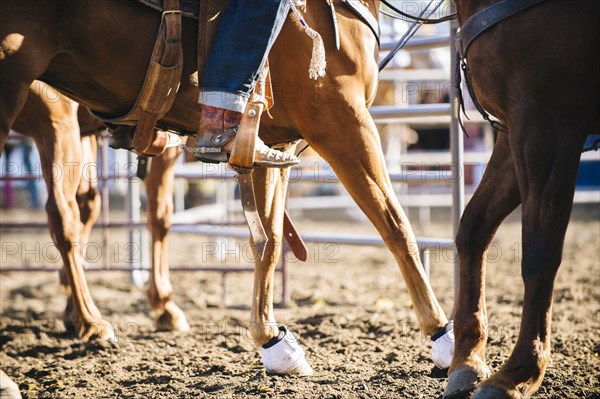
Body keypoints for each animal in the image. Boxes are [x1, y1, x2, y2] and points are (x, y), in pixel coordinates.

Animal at [0, 0, 450, 376]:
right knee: (64, 219)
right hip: (46, 114)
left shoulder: (274, 147)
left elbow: (268, 241)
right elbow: (395, 225)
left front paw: (272, 341)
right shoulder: (340, 119)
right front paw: (443, 336)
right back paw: (91, 322)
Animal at [446, 0, 600, 399]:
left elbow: (539, 254)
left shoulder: (547, 127)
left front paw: (517, 374)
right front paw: (467, 361)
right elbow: (473, 227)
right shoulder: (513, 129)